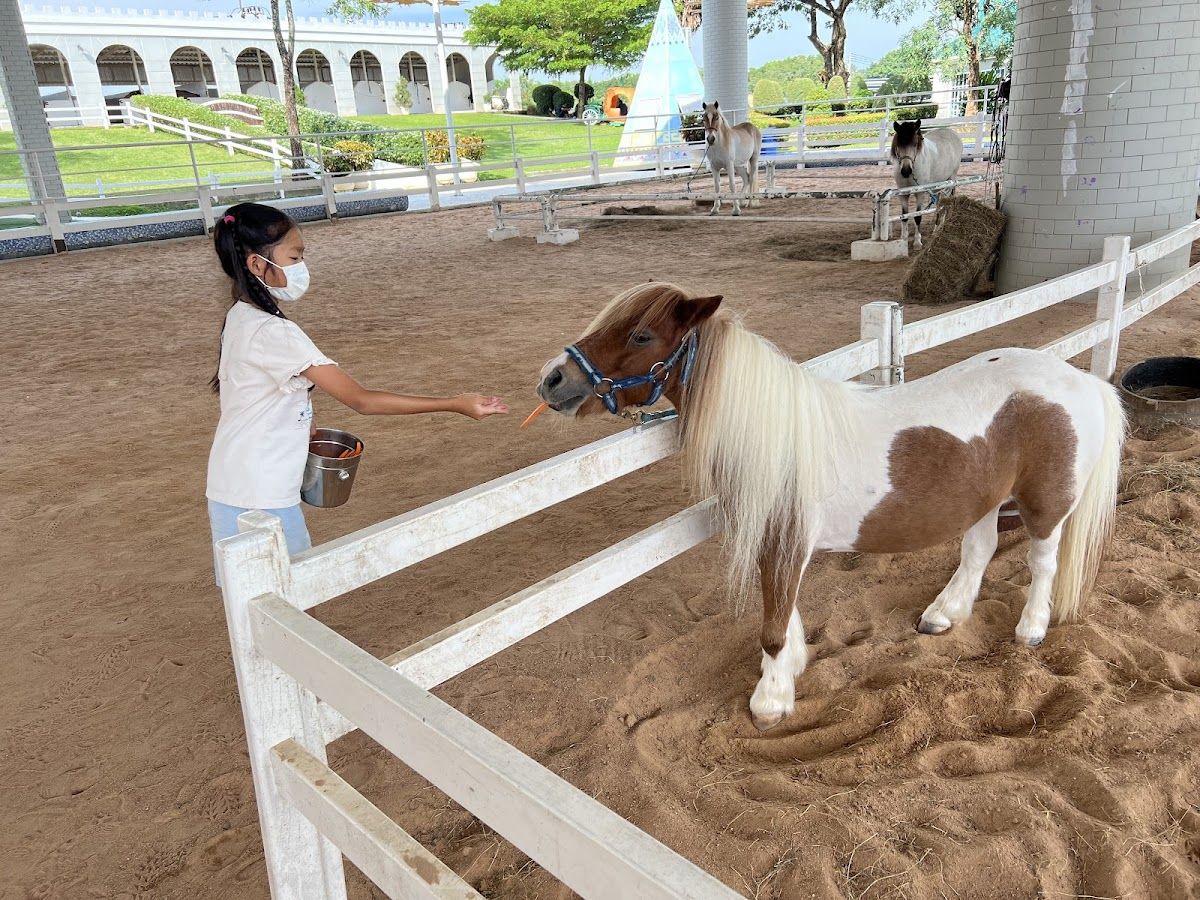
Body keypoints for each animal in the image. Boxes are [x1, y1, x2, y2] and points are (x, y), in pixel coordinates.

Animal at [536, 283, 1125, 731]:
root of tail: (1081, 380)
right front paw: (792, 666)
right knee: (978, 551)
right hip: (983, 499)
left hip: (1045, 506)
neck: (774, 432)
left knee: (1042, 564)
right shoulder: (778, 543)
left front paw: (771, 699)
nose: (552, 379)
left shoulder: (783, 540)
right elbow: (784, 610)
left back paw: (1031, 628)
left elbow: (772, 624)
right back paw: (944, 615)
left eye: (641, 334)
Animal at [891, 119, 963, 249]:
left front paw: (917, 242)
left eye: (915, 144)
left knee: (945, 203)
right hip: (937, 186)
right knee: (939, 204)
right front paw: (903, 240)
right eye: (898, 145)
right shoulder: (903, 194)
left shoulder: (920, 193)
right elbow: (904, 216)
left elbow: (918, 216)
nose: (906, 171)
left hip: (950, 182)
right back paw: (935, 229)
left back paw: (940, 228)